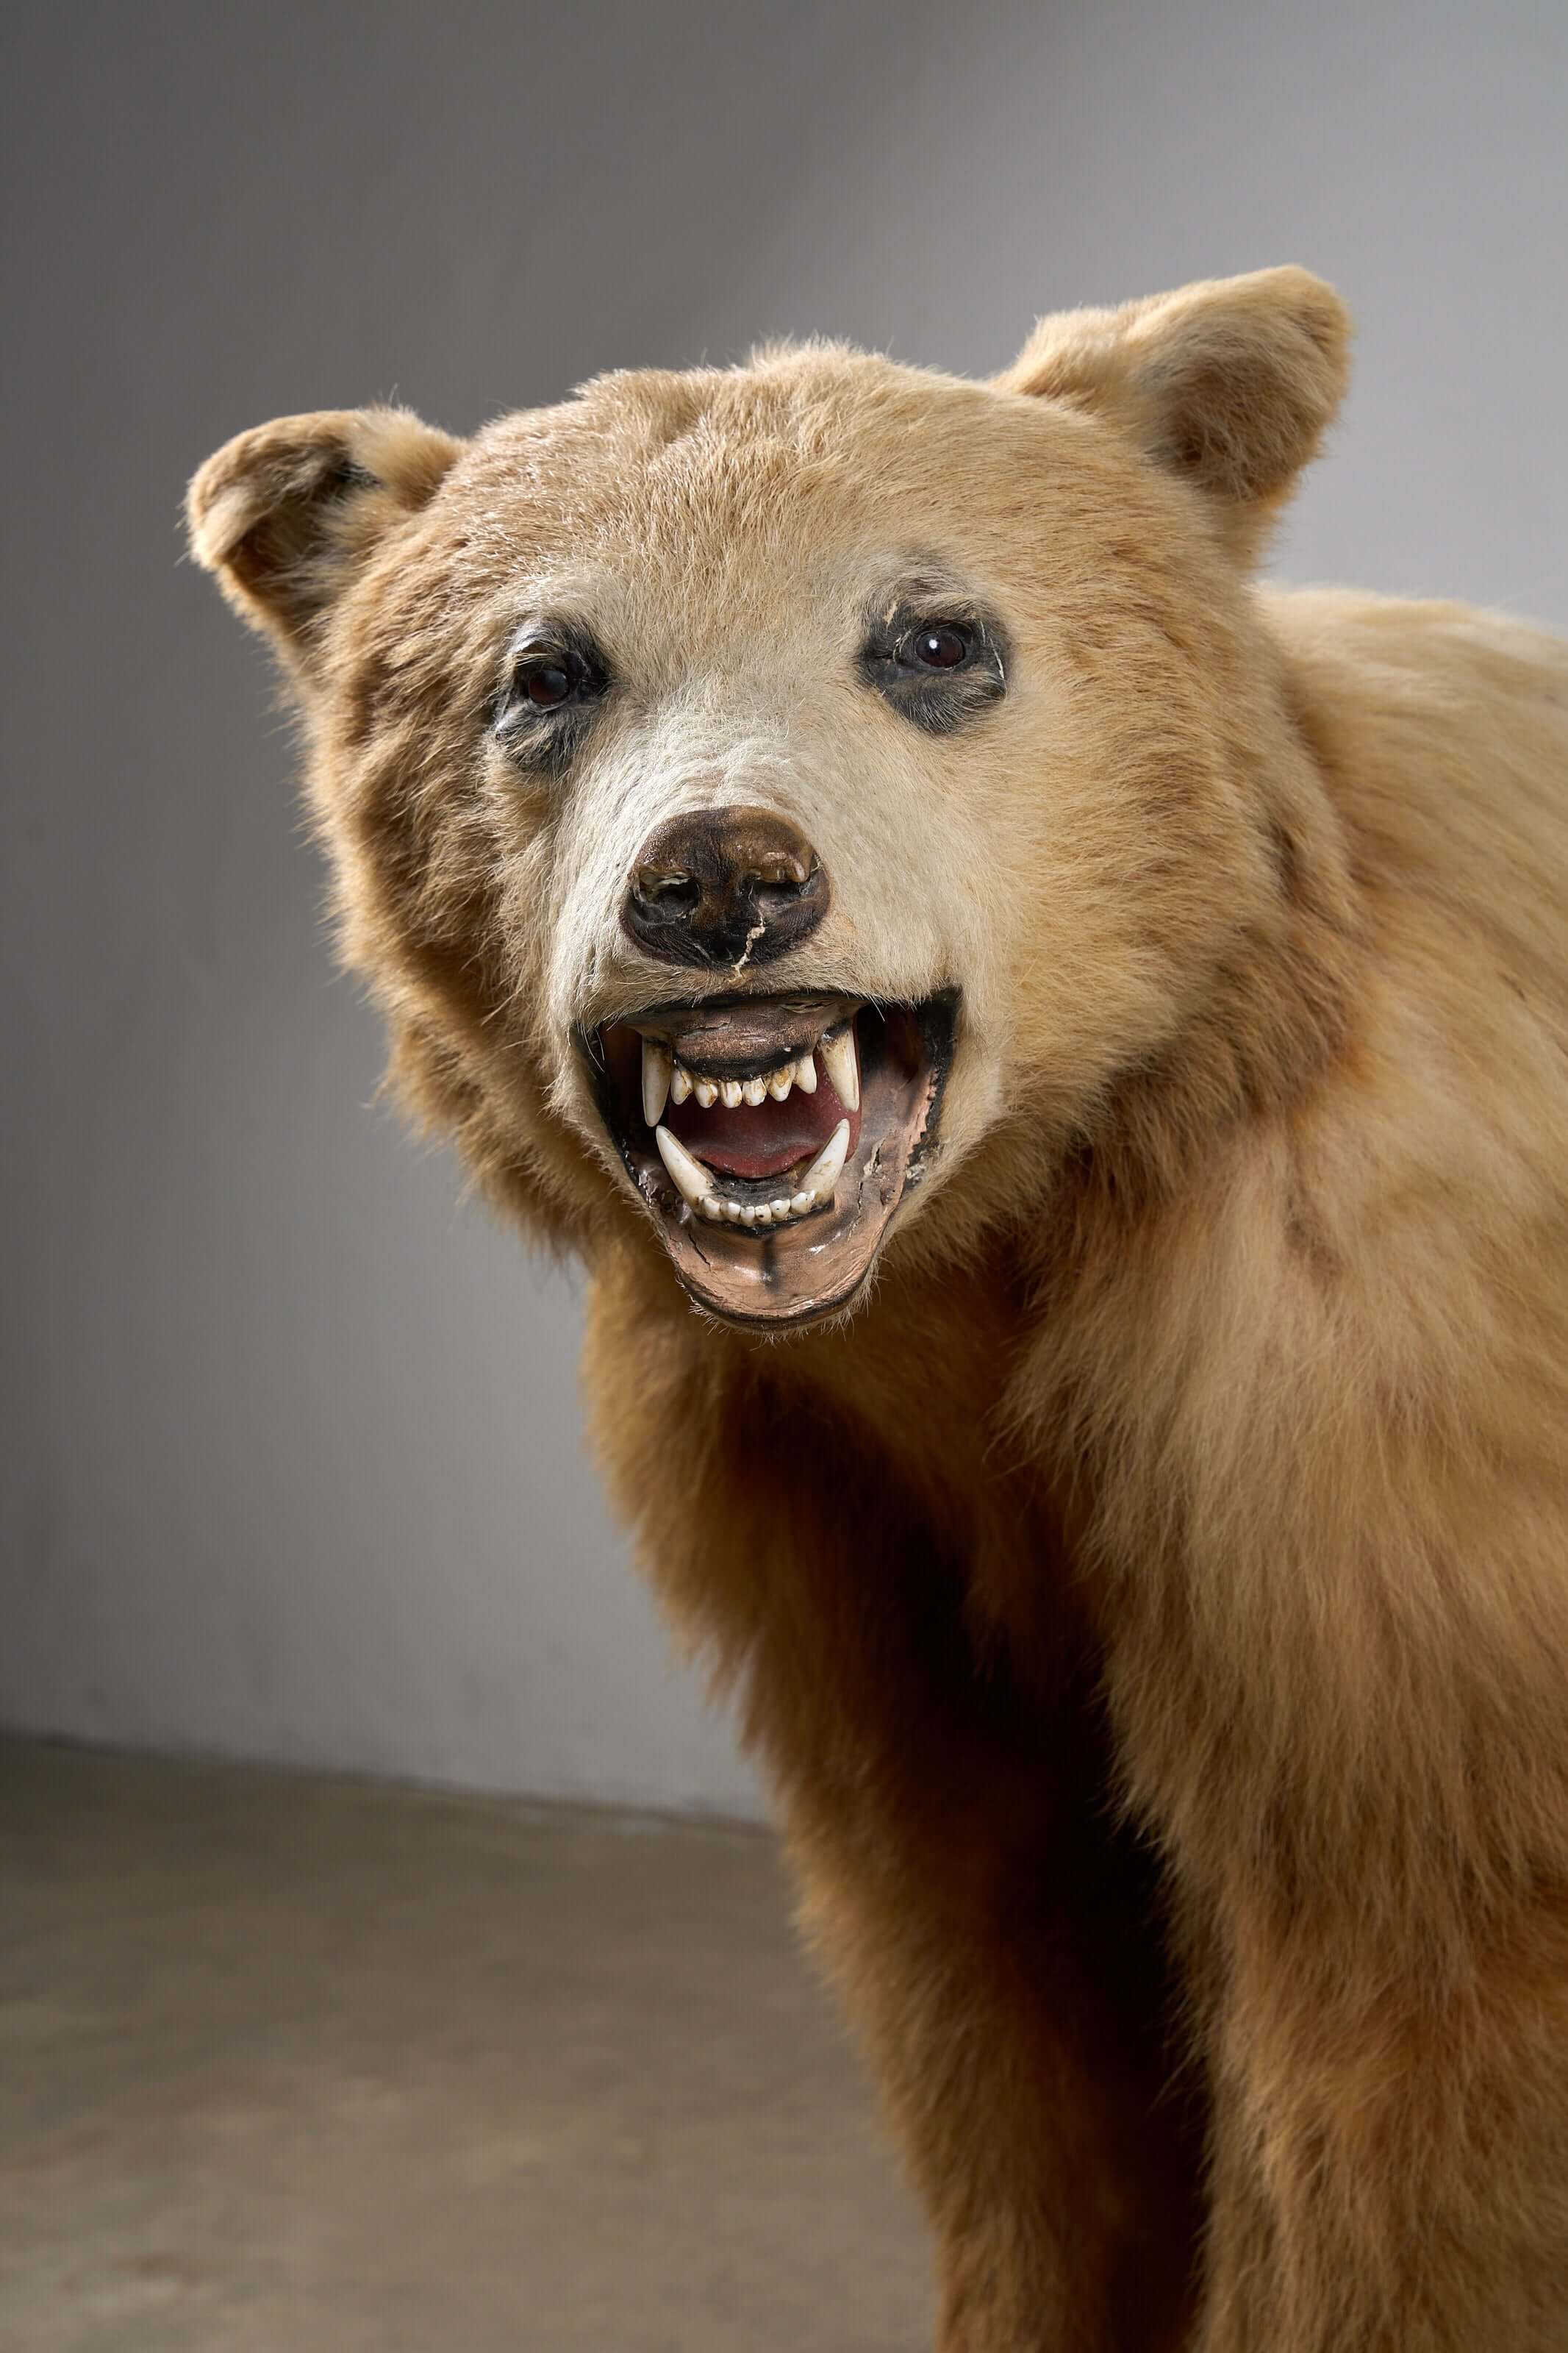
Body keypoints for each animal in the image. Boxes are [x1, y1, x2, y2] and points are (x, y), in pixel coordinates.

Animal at [188, 267, 1568, 2351]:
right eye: (546, 670)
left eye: (933, 636)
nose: (721, 882)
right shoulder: (826, 1496)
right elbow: (989, 1972)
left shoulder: (1360, 1431)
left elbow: (1397, 2025)